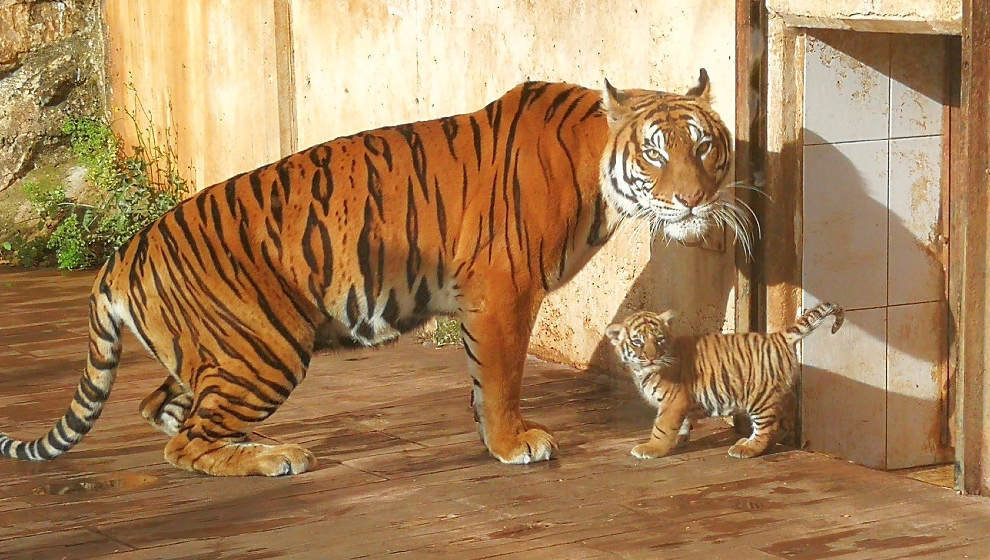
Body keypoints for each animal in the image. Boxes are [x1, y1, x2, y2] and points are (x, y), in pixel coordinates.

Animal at [0, 68, 744, 474]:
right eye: (655, 152)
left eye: (705, 146)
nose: (692, 200)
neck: (599, 170)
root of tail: (122, 254)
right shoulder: (504, 289)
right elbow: (501, 377)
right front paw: (512, 443)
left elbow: (482, 380)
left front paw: (491, 436)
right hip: (265, 347)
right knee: (184, 442)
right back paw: (276, 456)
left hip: (214, 353)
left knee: (163, 409)